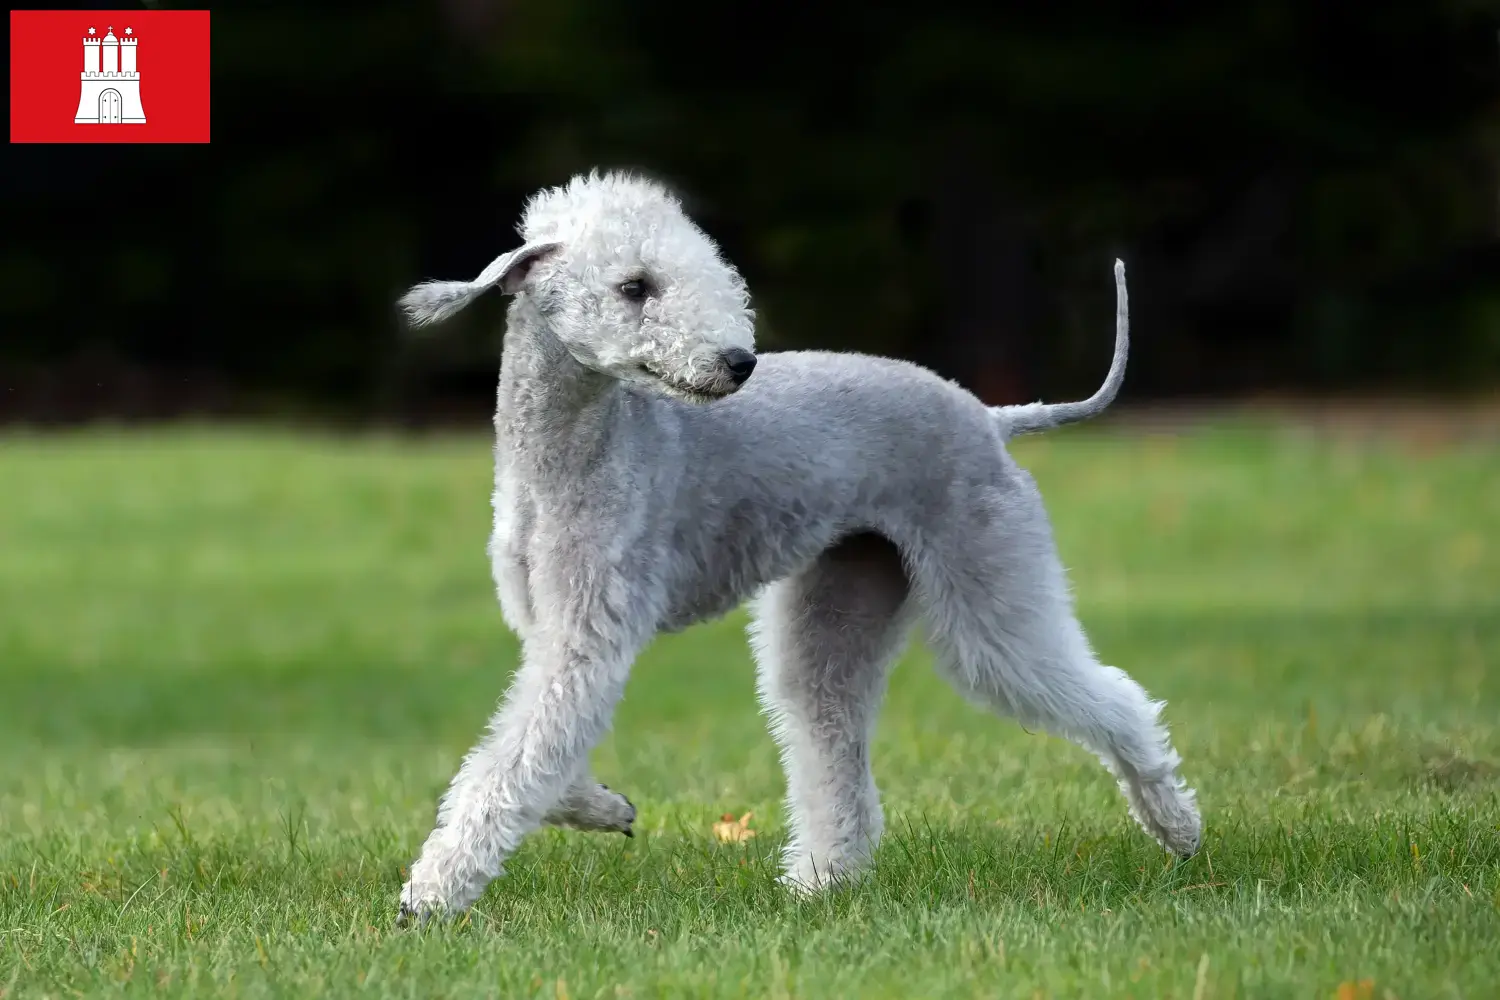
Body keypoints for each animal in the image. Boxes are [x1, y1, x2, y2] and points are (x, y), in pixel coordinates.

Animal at [393, 170, 1200, 923]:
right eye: (634, 287)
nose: (738, 361)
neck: (573, 450)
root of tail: (990, 416)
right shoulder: (552, 632)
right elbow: (537, 750)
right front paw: (603, 806)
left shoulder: (587, 634)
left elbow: (513, 759)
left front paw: (430, 896)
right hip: (841, 601)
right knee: (835, 748)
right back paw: (820, 886)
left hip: (987, 590)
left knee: (1114, 697)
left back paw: (1178, 826)